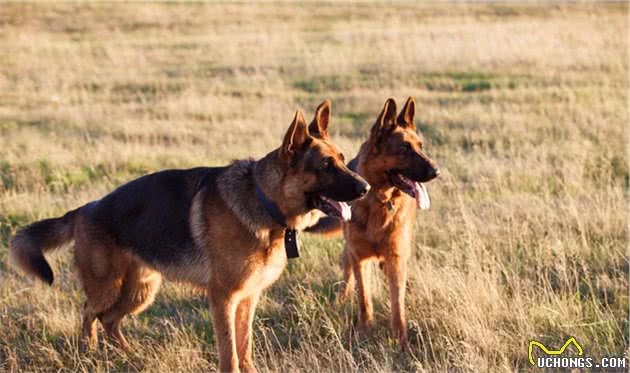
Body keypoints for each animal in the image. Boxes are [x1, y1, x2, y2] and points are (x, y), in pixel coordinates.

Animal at [8, 100, 370, 370]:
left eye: (342, 159)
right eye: (326, 166)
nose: (366, 187)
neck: (264, 201)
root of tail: (85, 209)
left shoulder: (248, 297)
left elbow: (245, 345)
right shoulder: (223, 297)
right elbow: (229, 351)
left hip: (140, 290)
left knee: (109, 320)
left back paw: (130, 355)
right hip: (107, 286)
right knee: (88, 314)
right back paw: (89, 354)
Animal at [308, 96, 440, 348]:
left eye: (421, 146)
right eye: (404, 149)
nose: (437, 172)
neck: (380, 200)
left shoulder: (396, 257)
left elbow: (397, 304)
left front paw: (400, 340)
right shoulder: (360, 257)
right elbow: (364, 298)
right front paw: (363, 330)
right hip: (351, 250)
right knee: (347, 270)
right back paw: (343, 297)